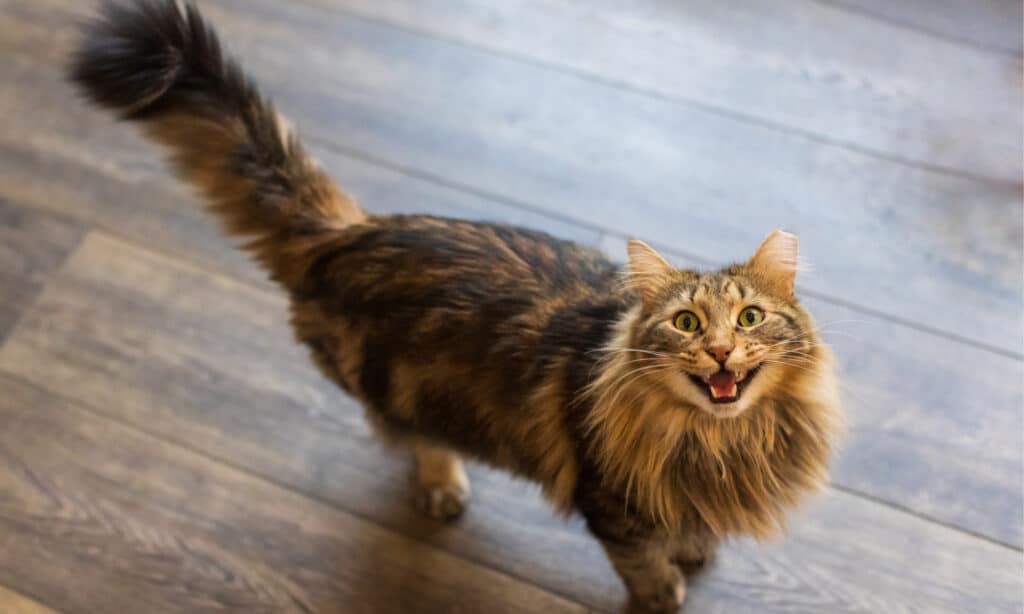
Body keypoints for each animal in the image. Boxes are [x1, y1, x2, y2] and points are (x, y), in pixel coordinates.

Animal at [70, 2, 839, 609]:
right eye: (686, 323)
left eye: (749, 318)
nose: (721, 351)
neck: (721, 442)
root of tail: (352, 233)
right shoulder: (611, 507)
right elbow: (643, 562)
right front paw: (666, 590)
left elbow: (691, 525)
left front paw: (696, 548)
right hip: (402, 390)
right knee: (414, 438)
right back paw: (442, 487)